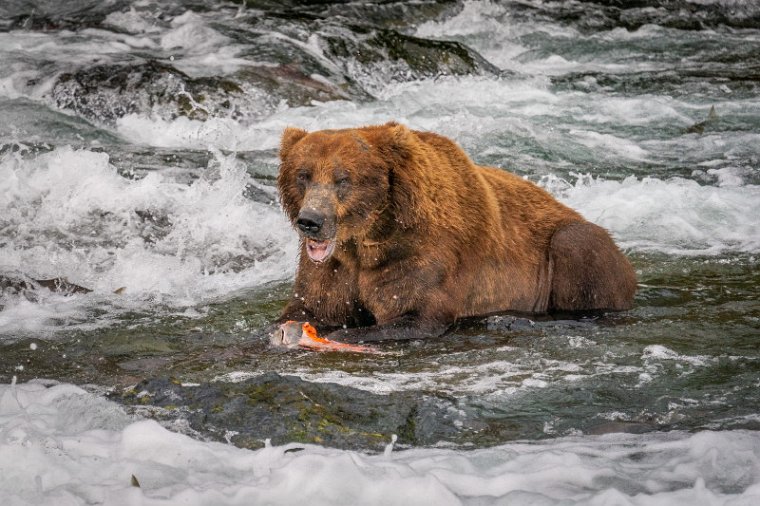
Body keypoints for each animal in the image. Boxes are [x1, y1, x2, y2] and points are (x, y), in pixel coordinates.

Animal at [276, 123, 640, 344]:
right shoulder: (335, 267)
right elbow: (312, 306)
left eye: (343, 178)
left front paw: (339, 336)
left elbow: (414, 313)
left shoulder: (424, 252)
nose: (310, 220)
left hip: (569, 251)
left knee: (579, 247)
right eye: (304, 175)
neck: (366, 241)